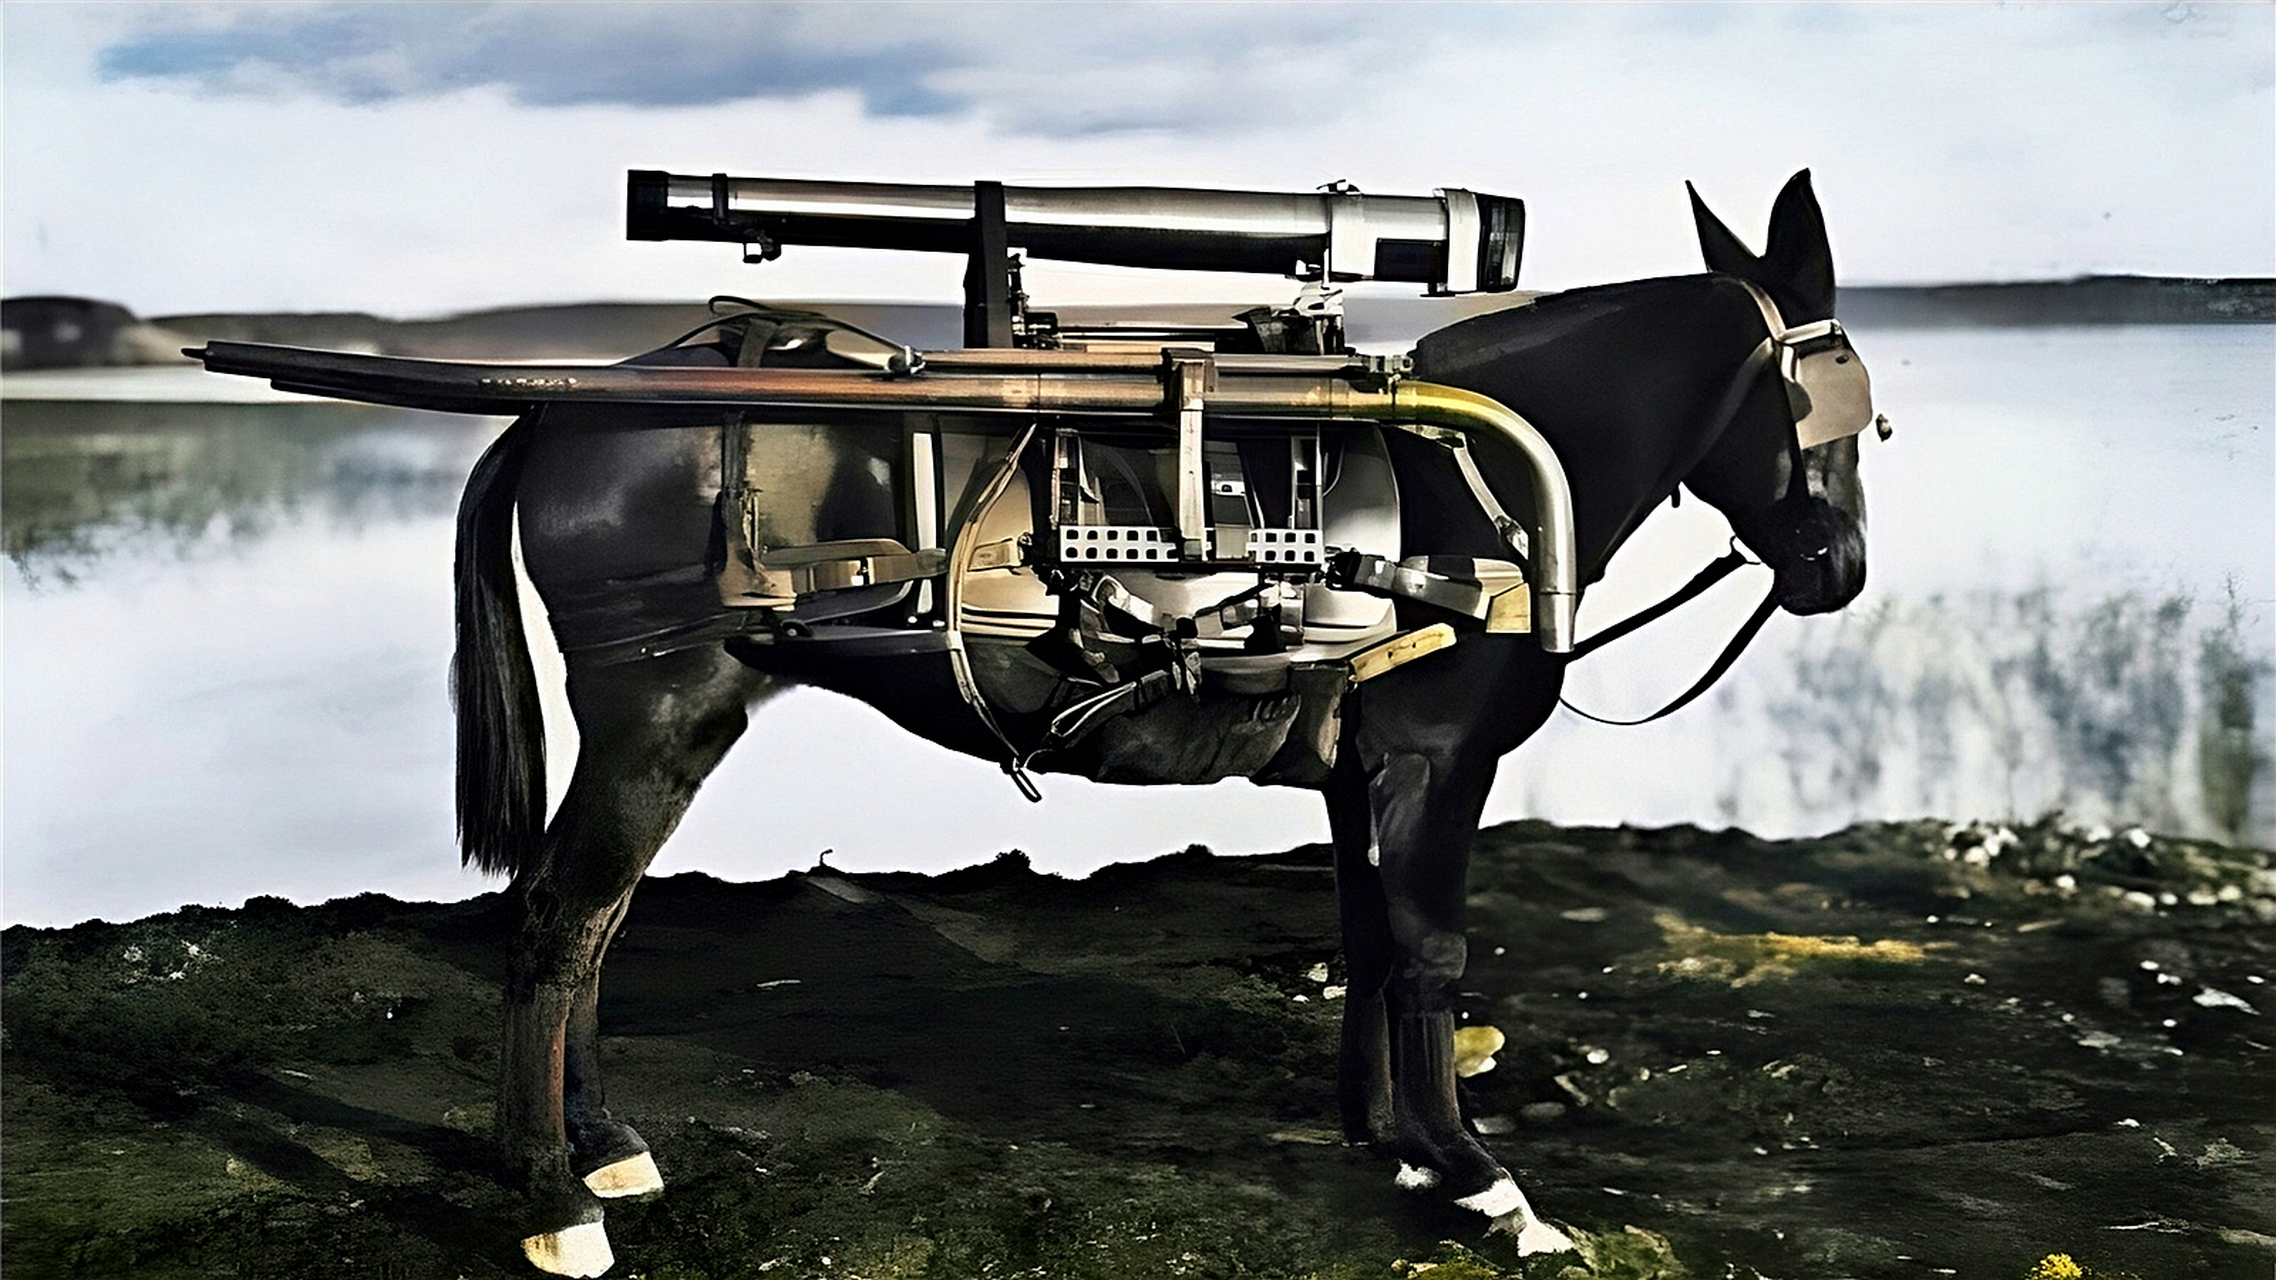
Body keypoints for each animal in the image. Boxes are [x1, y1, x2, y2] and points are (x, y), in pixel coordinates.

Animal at [450, 170, 1872, 1273]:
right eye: (1829, 399)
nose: (1838, 567)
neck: (1474, 484)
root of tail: (562, 407)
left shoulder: (1359, 772)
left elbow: (1368, 939)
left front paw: (1391, 1142)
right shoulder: (1432, 761)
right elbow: (1428, 952)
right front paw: (1481, 1179)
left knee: (592, 926)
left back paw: (602, 1144)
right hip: (659, 709)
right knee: (557, 923)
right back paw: (551, 1192)